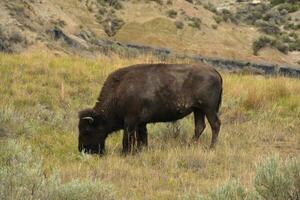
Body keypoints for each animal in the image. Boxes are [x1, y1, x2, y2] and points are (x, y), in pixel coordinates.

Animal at [78, 63, 223, 154]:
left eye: (86, 131)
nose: (82, 150)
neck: (118, 92)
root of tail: (215, 71)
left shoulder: (130, 121)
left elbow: (127, 139)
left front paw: (125, 153)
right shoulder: (141, 123)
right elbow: (142, 137)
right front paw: (141, 150)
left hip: (208, 109)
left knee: (215, 124)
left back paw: (211, 148)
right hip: (198, 110)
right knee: (200, 126)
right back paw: (189, 145)